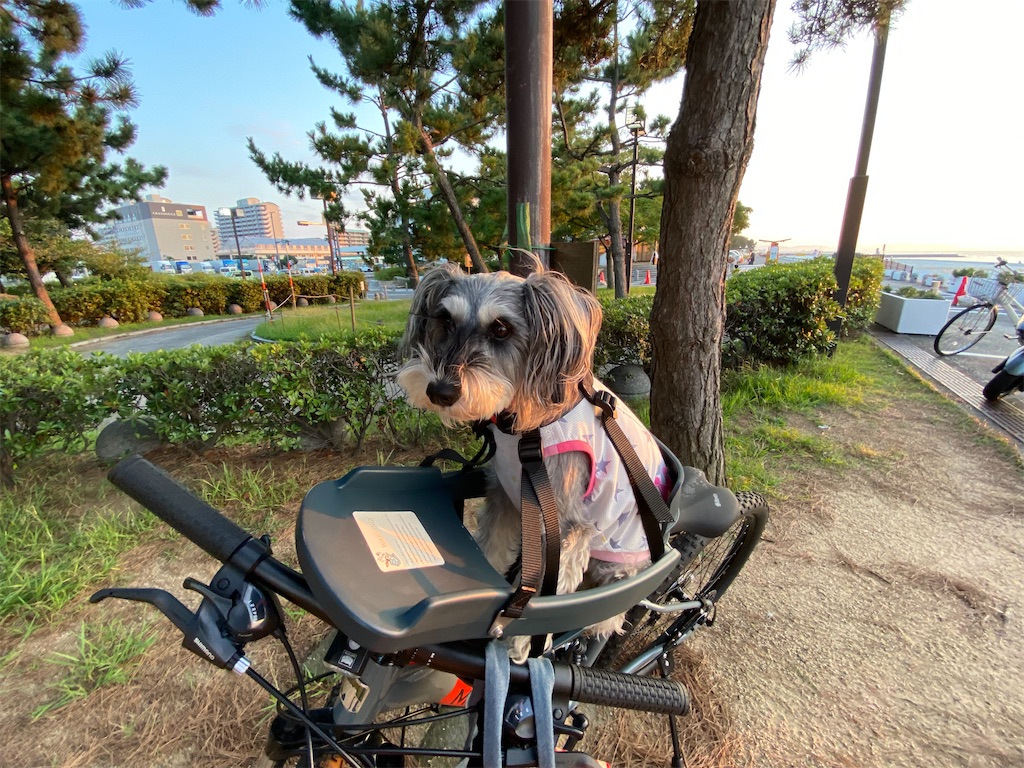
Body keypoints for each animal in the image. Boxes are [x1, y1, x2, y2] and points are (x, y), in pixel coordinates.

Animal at [397, 263, 671, 653]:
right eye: (445, 320)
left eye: (501, 328)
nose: (440, 391)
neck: (526, 428)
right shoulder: (505, 500)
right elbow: (492, 547)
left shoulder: (567, 528)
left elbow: (549, 592)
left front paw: (521, 642)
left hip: (621, 558)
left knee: (619, 599)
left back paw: (599, 623)